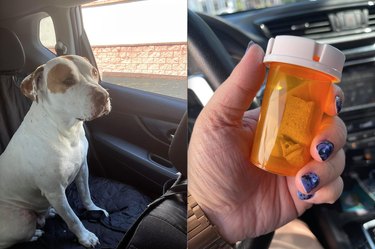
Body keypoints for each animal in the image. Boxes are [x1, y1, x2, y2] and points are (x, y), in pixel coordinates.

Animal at [0, 55, 111, 248]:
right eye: (68, 81)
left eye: (94, 73)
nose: (104, 96)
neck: (67, 132)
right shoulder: (55, 191)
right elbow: (72, 218)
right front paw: (85, 237)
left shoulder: (83, 168)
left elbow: (86, 195)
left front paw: (94, 209)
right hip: (21, 219)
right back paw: (35, 233)